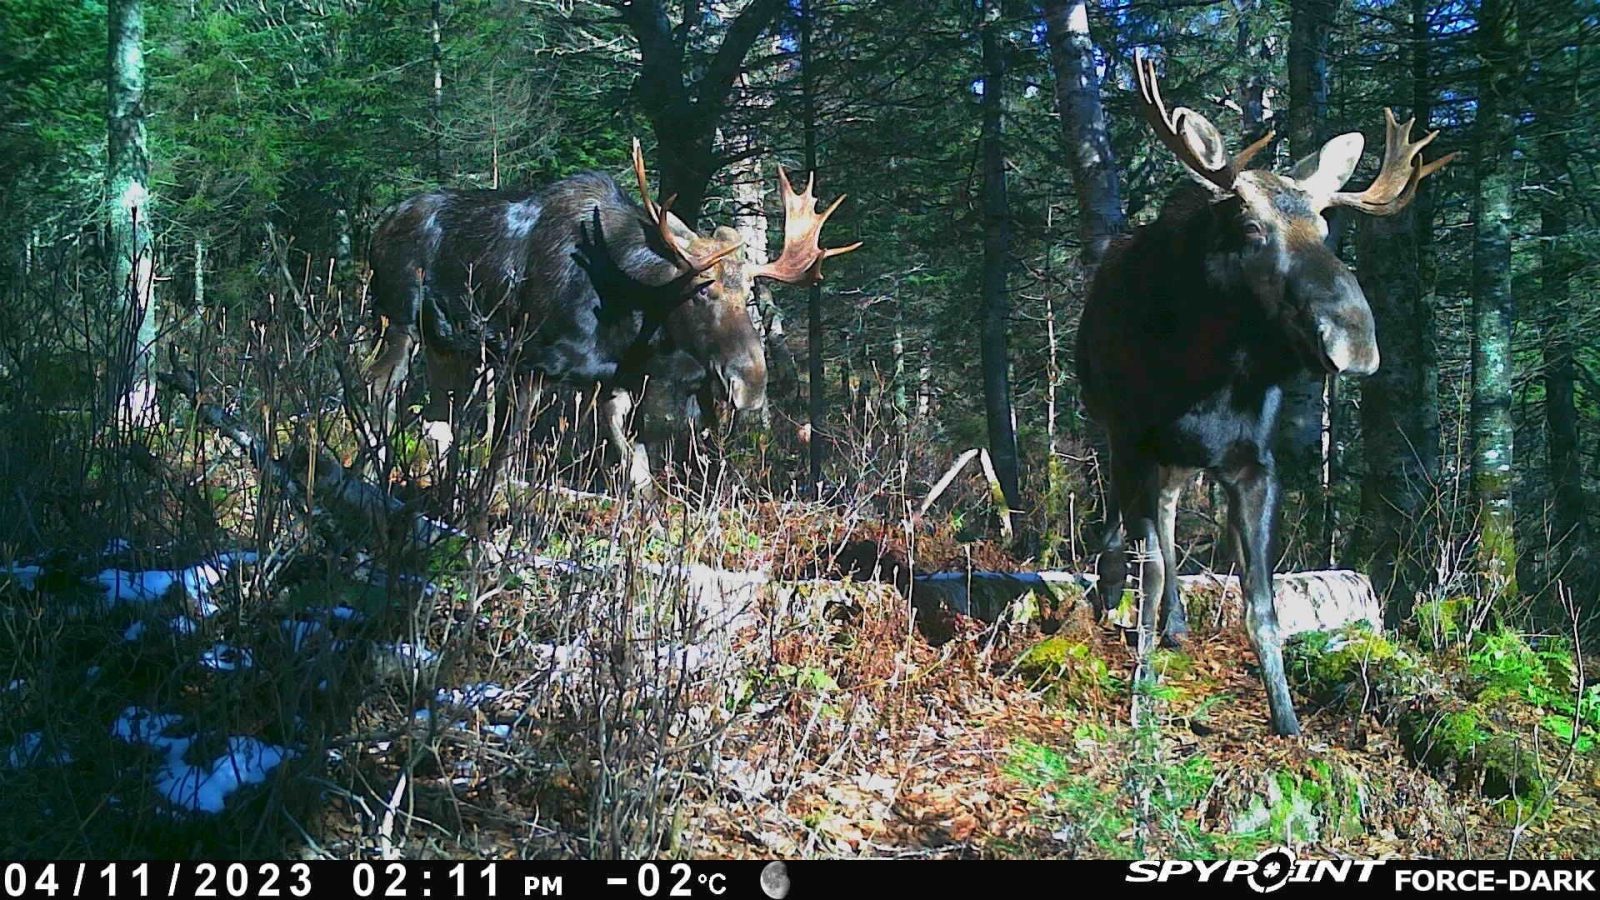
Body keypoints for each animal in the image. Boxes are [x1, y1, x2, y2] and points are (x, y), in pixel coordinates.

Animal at [366, 136, 864, 493]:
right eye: (701, 292)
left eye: (749, 295)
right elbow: (504, 458)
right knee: (378, 386)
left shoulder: (616, 381)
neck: (624, 318)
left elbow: (637, 470)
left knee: (437, 421)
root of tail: (380, 220)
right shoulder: (528, 361)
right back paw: (372, 474)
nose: (751, 383)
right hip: (399, 319)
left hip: (447, 348)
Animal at [1081, 52, 1459, 733]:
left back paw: (1177, 624)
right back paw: (1113, 589)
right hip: (1122, 440)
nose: (1355, 337)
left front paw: (1287, 720)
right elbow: (1150, 575)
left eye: (1325, 228)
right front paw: (1140, 697)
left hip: (1180, 465)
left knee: (1170, 523)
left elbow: (1262, 601)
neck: (1202, 374)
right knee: (1129, 529)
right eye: (1252, 228)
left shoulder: (1253, 464)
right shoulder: (1135, 442)